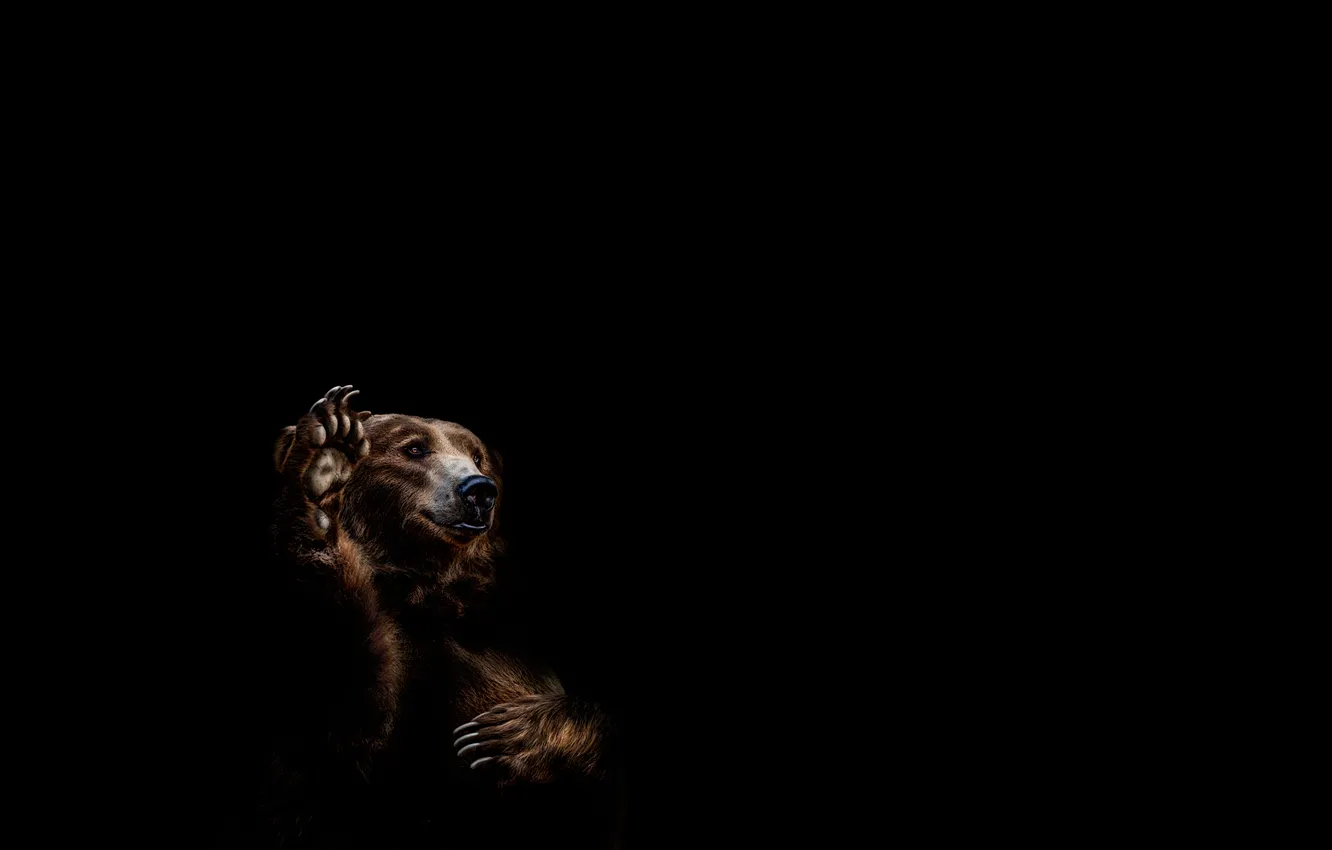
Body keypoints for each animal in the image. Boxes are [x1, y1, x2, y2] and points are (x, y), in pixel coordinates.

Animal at [255, 384, 620, 849]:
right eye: (414, 448)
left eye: (478, 456)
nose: (479, 490)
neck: (425, 589)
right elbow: (342, 740)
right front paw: (325, 460)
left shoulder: (494, 639)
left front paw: (504, 737)